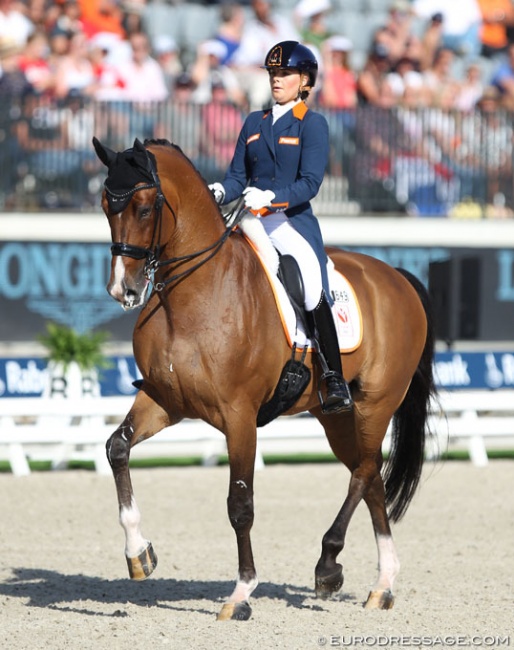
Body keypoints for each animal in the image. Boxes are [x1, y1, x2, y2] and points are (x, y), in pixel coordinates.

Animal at [93, 135, 436, 616]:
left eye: (143, 208)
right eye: (107, 204)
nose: (122, 289)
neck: (195, 292)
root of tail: (397, 277)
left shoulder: (238, 416)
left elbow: (240, 504)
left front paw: (240, 594)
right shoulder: (165, 400)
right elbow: (117, 449)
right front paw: (139, 554)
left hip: (376, 402)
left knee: (367, 470)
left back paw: (329, 565)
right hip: (335, 415)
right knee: (369, 478)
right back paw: (381, 584)